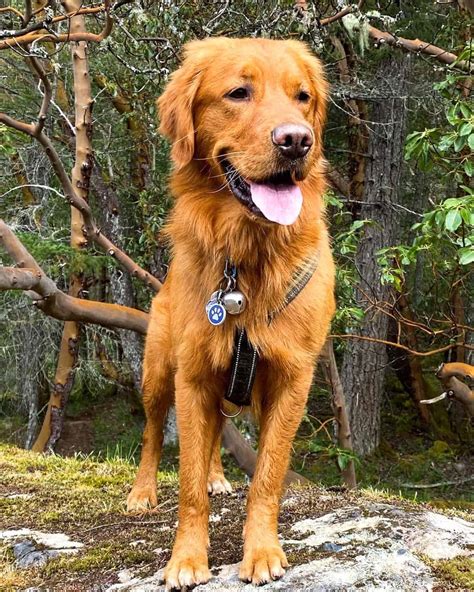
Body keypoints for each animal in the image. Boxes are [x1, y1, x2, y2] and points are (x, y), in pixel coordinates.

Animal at [125, 39, 334, 588]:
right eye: (239, 92)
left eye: (302, 97)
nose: (297, 141)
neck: (246, 261)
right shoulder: (193, 374)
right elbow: (187, 480)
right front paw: (186, 558)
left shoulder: (291, 378)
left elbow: (267, 475)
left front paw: (261, 551)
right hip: (158, 372)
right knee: (153, 434)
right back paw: (142, 492)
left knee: (217, 434)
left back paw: (220, 477)